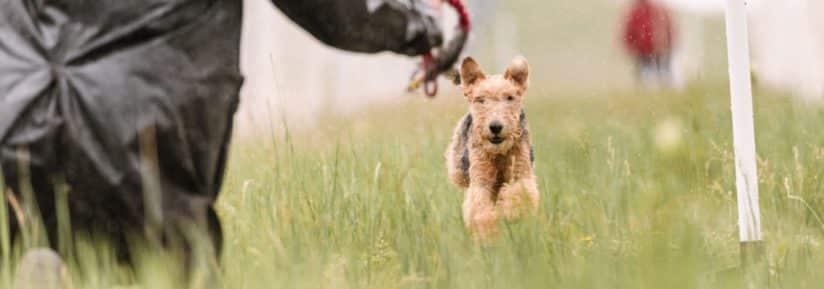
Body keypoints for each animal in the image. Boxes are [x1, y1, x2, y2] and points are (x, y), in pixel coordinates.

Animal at [448, 56, 536, 238]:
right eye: (480, 99)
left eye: (510, 97)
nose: (495, 127)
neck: (499, 154)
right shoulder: (482, 181)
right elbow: (480, 211)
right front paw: (487, 235)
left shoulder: (520, 172)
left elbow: (519, 192)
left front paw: (511, 212)